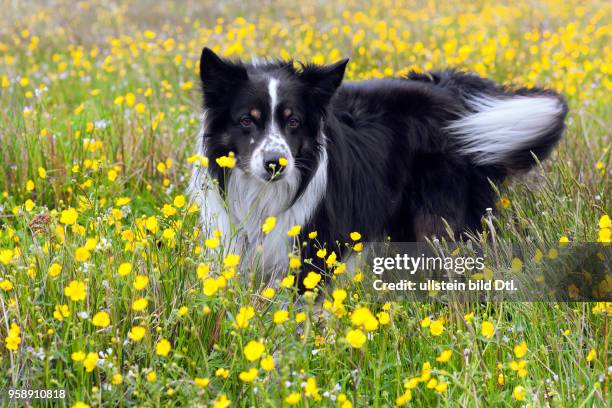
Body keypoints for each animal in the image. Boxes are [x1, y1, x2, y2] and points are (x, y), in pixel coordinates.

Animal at [188, 47, 568, 290]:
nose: (275, 164)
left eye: (293, 121)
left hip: (442, 222)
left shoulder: (312, 249)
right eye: (245, 121)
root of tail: (449, 91)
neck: (263, 193)